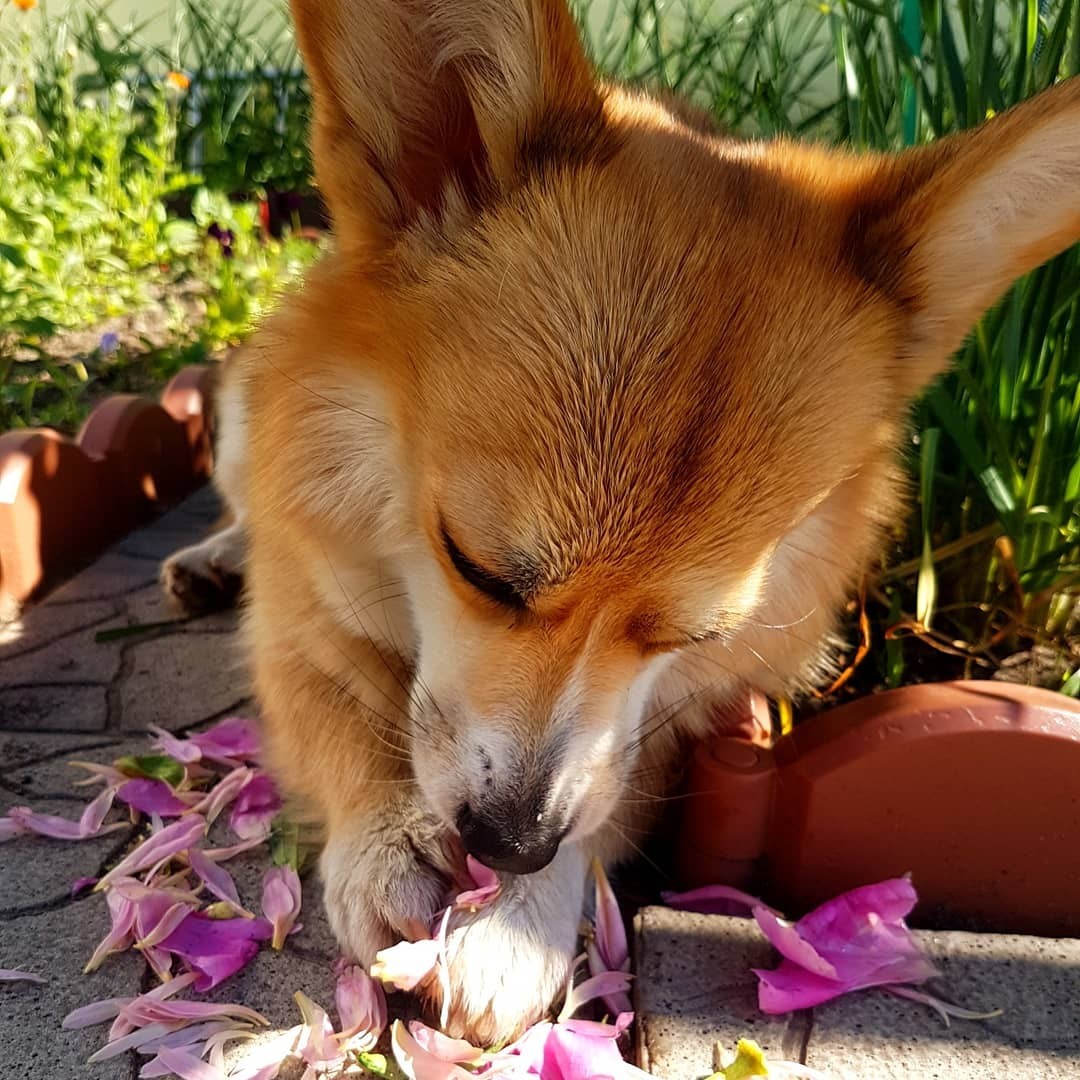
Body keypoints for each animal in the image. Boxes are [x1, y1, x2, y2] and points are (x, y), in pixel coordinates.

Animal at [159, 0, 1080, 1045]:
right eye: (474, 566)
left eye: (693, 636)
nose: (510, 846)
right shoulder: (299, 631)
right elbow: (341, 721)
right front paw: (389, 838)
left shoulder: (682, 719)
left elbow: (608, 788)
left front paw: (518, 921)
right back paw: (211, 555)